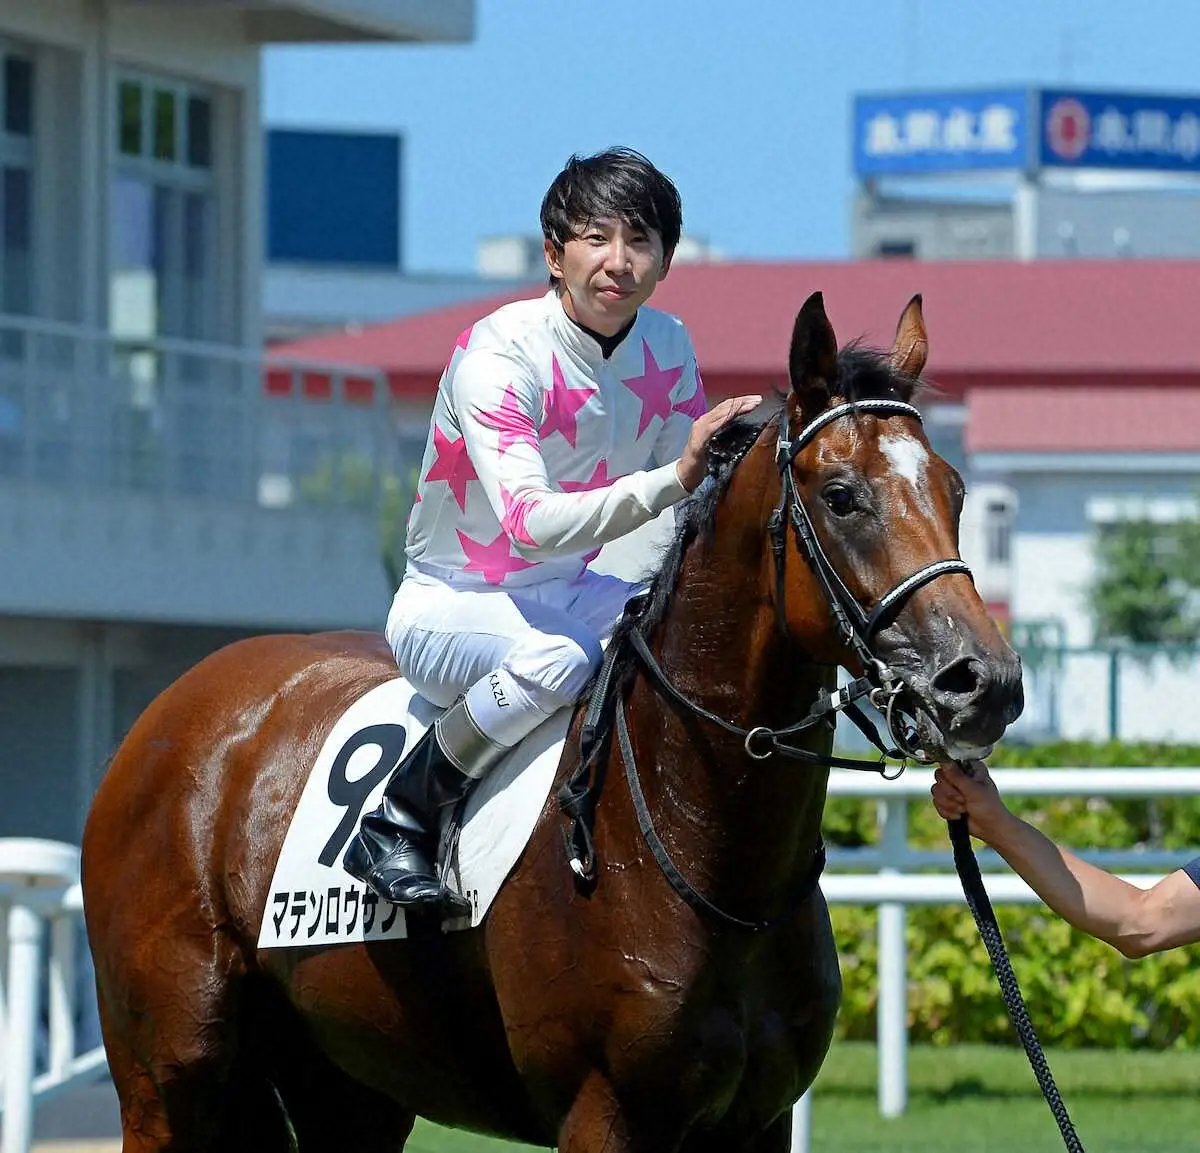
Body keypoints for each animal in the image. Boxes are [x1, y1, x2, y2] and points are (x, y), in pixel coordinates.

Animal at [82, 295, 1022, 1151]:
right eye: (841, 496)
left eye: (955, 489)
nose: (983, 682)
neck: (700, 847)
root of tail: (168, 714)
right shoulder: (603, 1111)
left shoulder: (758, 1122)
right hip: (167, 1081)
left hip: (347, 1085)